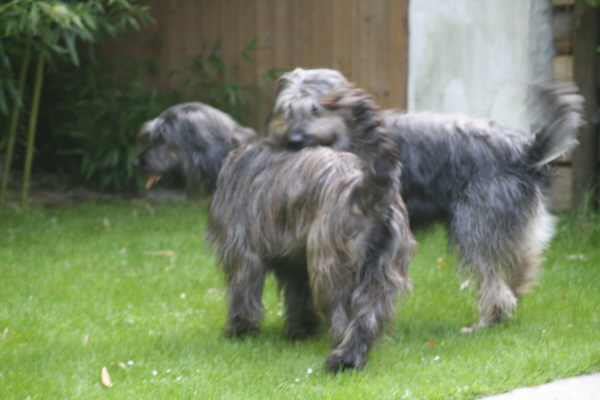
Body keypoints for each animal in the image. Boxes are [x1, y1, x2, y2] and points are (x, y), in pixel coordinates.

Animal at [133, 87, 414, 372]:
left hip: (331, 266)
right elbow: (297, 296)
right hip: (379, 271)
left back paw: (342, 357)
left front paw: (240, 330)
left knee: (343, 314)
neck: (226, 155)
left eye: (161, 137)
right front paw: (301, 330)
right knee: (369, 313)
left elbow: (242, 293)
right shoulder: (294, 260)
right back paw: (354, 355)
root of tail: (365, 188)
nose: (136, 162)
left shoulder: (242, 252)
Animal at [268, 68, 584, 332]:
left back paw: (487, 320)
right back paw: (515, 291)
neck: (346, 135)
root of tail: (525, 150)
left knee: (493, 277)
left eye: (315, 109)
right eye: (286, 111)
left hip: (475, 224)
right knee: (522, 258)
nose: (294, 140)